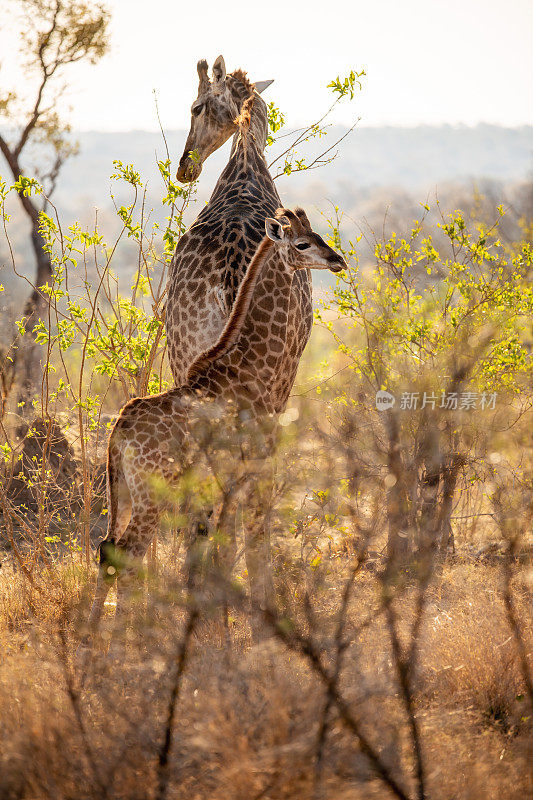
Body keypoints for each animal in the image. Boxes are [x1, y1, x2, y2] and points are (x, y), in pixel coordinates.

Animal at [86, 209, 344, 636]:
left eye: (319, 234)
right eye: (303, 243)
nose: (338, 260)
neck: (248, 364)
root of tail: (119, 434)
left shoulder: (223, 480)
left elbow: (222, 550)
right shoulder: (252, 465)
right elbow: (235, 547)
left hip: (120, 488)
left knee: (107, 551)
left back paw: (89, 641)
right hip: (151, 494)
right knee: (129, 554)